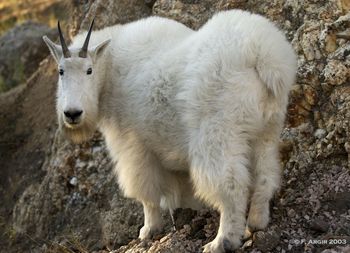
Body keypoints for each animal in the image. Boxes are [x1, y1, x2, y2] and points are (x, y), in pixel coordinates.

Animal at [43, 10, 296, 253]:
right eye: (61, 71)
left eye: (89, 70)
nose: (72, 113)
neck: (111, 68)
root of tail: (263, 55)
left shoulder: (133, 145)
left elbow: (147, 191)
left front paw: (149, 229)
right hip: (266, 130)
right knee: (265, 174)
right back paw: (256, 223)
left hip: (218, 132)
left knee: (231, 185)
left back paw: (222, 241)